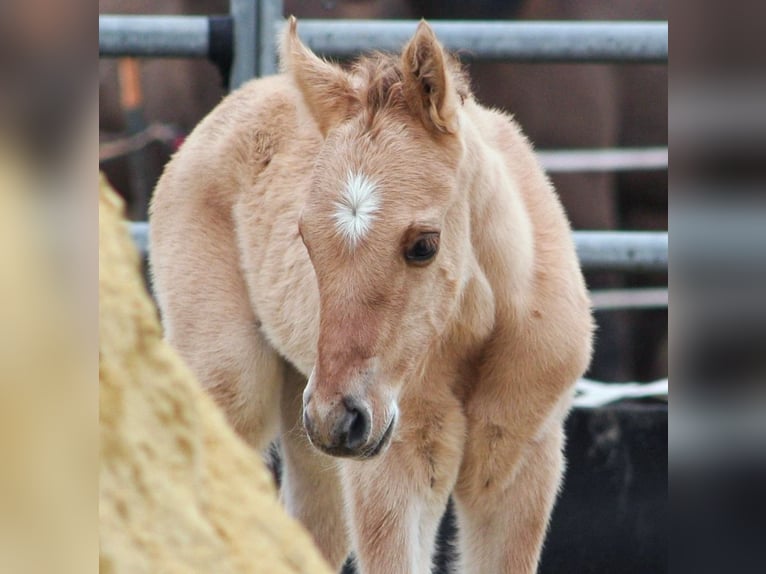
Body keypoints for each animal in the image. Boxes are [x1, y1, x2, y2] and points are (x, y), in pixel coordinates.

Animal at [148, 16, 592, 574]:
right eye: (307, 238)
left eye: (424, 245)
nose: (339, 417)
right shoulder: (393, 467)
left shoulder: (520, 469)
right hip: (235, 388)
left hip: (311, 437)